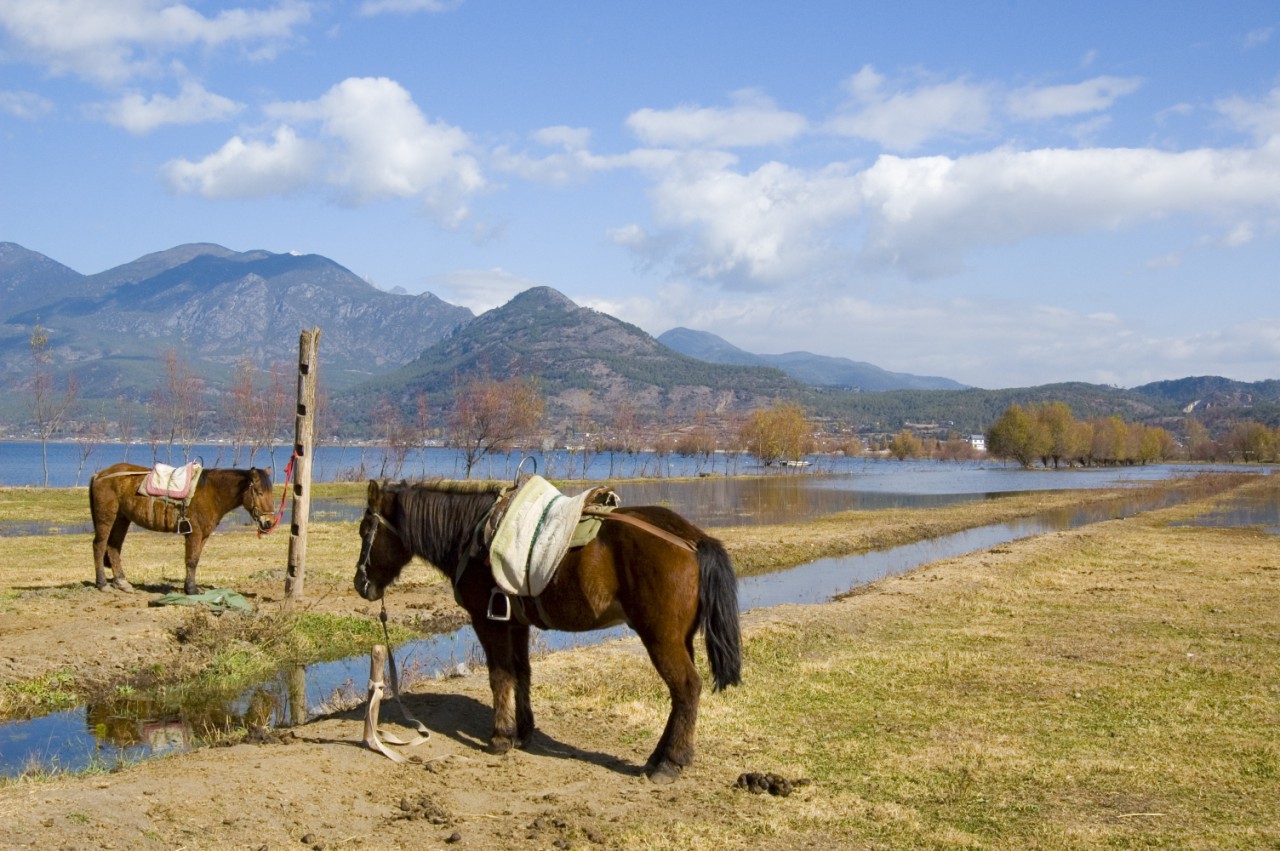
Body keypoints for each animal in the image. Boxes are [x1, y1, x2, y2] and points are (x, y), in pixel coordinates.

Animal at [88, 460, 277, 593]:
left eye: (271, 493)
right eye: (260, 493)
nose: (269, 522)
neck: (211, 493)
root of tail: (99, 475)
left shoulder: (203, 535)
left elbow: (195, 559)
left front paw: (189, 587)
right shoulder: (194, 533)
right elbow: (191, 560)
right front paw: (191, 590)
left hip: (122, 519)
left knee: (113, 547)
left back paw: (122, 583)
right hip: (107, 518)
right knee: (99, 546)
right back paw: (102, 583)